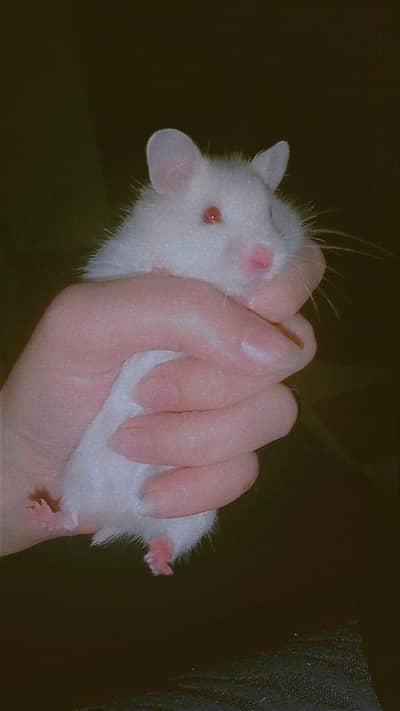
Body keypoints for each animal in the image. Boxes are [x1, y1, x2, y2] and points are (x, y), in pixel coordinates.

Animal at [30, 129, 305, 575]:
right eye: (210, 216)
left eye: (271, 214)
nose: (265, 259)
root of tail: (119, 519)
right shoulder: (114, 270)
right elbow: (148, 274)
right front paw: (163, 271)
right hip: (76, 480)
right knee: (70, 516)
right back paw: (42, 513)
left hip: (193, 516)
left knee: (168, 538)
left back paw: (159, 562)